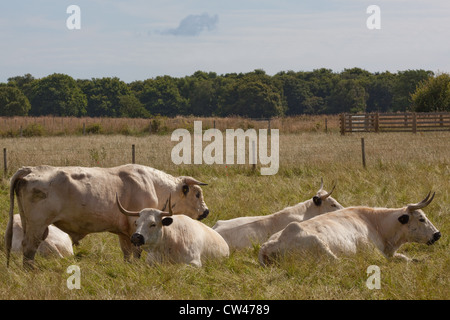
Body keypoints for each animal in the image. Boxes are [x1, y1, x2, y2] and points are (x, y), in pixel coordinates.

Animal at [258, 192, 442, 264]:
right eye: (421, 218)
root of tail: (269, 245)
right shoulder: (374, 252)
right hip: (321, 245)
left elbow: (404, 257)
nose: (437, 234)